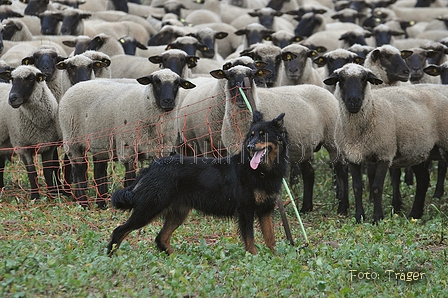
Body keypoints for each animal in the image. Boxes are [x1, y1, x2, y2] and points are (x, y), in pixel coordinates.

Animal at [109, 110, 290, 255]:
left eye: (263, 135)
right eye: (251, 135)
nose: (250, 147)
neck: (261, 171)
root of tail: (151, 167)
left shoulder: (266, 209)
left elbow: (270, 238)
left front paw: (275, 257)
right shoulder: (246, 210)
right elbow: (250, 239)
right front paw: (253, 257)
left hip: (178, 212)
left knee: (161, 238)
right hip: (150, 207)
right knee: (120, 230)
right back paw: (111, 255)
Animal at [324, 62, 448, 222]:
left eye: (364, 79)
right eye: (341, 79)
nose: (354, 101)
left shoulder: (384, 154)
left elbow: (377, 187)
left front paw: (377, 218)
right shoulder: (352, 157)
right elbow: (357, 187)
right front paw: (359, 217)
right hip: (418, 150)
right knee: (423, 180)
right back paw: (415, 214)